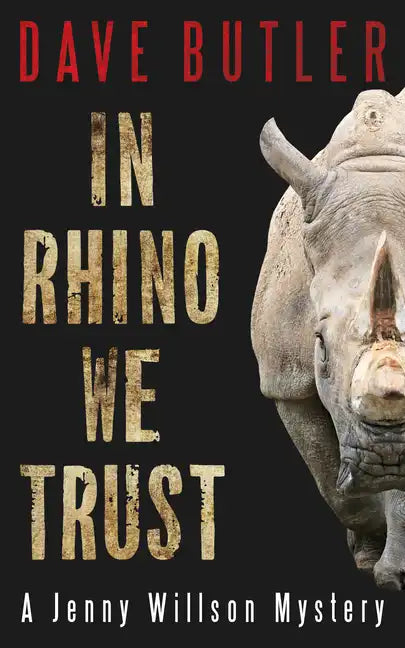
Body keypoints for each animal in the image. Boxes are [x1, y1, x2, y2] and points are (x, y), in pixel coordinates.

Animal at [252, 88, 405, 590]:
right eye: (318, 341)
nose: (387, 457)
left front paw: (392, 574)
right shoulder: (285, 376)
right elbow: (330, 478)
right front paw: (369, 555)